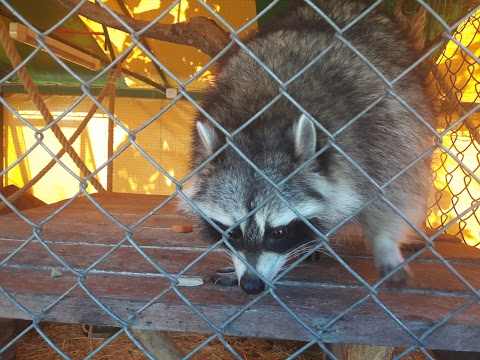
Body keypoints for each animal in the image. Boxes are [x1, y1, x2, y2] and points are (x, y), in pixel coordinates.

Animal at [180, 0, 436, 296]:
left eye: (278, 233)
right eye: (232, 232)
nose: (252, 285)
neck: (262, 121)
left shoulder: (378, 135)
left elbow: (392, 194)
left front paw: (385, 243)